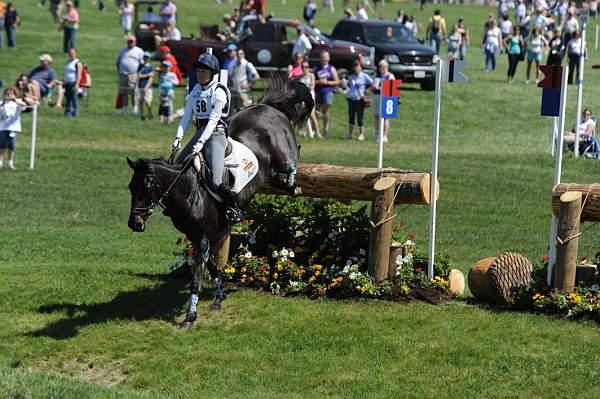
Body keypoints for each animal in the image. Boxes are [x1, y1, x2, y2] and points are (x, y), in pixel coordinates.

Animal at [126, 77, 314, 328]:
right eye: (130, 187)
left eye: (146, 187)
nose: (134, 223)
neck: (189, 191)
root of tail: (267, 106)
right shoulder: (198, 236)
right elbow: (212, 267)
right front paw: (219, 296)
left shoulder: (206, 236)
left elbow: (198, 275)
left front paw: (190, 316)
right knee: (278, 176)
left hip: (283, 146)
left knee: (292, 160)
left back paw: (293, 181)